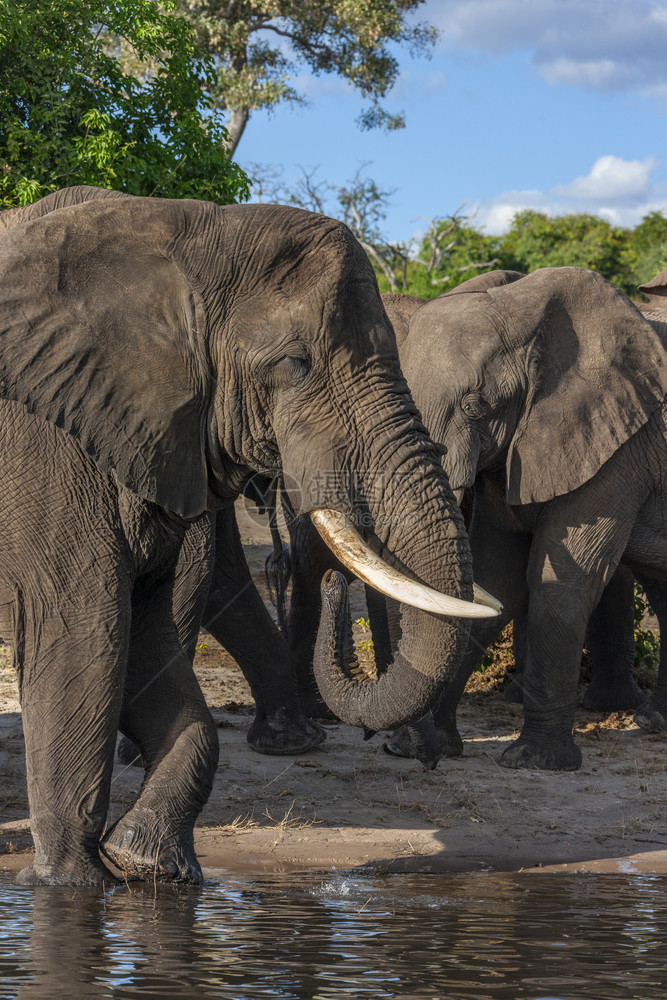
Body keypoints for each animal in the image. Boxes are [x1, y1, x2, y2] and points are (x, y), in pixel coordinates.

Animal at [0, 186, 500, 884]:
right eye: (295, 364)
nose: (337, 588)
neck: (180, 230)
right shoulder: (48, 446)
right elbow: (86, 634)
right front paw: (70, 889)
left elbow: (148, 643)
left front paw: (149, 863)